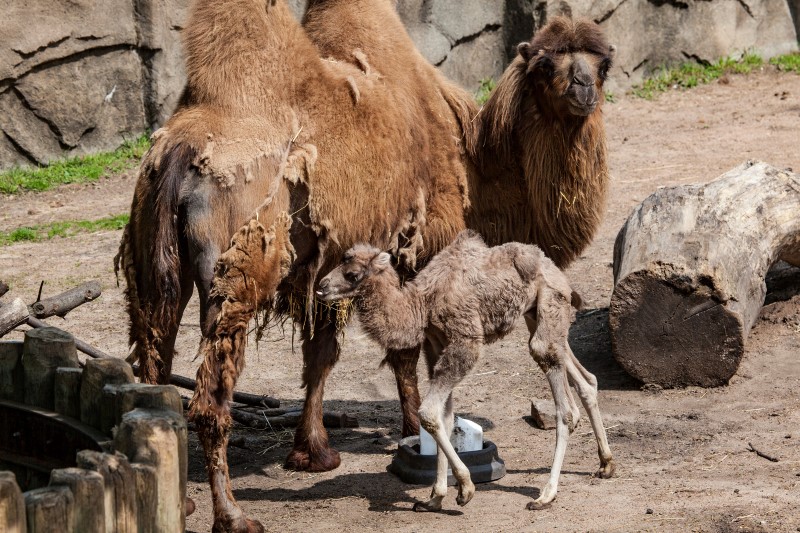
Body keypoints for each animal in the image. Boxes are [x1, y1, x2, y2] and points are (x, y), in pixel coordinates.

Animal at [316, 230, 616, 512]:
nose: (321, 287)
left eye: (352, 273)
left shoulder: (465, 340)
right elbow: (445, 417)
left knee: (562, 401)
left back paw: (546, 495)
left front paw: (465, 487)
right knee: (584, 378)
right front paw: (434, 498)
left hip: (549, 304)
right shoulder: (435, 345)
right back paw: (606, 464)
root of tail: (555, 270)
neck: (422, 303)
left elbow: (429, 413)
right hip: (537, 314)